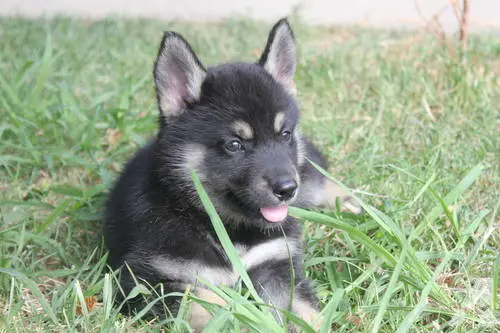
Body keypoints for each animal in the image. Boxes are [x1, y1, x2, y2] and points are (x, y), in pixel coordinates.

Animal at [104, 17, 360, 330]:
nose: (287, 190)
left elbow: (302, 311)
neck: (224, 225)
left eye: (284, 134)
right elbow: (206, 305)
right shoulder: (152, 279)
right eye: (234, 144)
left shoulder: (276, 264)